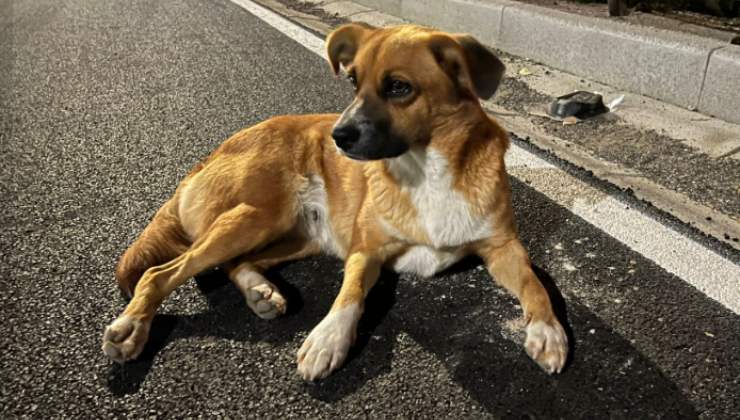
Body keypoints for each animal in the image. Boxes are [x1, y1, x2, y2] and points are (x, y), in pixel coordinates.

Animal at [101, 23, 568, 380]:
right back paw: (131, 327)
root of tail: (207, 158)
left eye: (399, 87)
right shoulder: (366, 250)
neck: (426, 169)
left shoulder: (504, 248)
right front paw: (328, 339)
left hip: (295, 235)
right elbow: (351, 293)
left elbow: (535, 283)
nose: (337, 137)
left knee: (236, 263)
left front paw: (547, 330)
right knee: (160, 273)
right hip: (256, 216)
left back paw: (259, 292)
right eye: (353, 82)